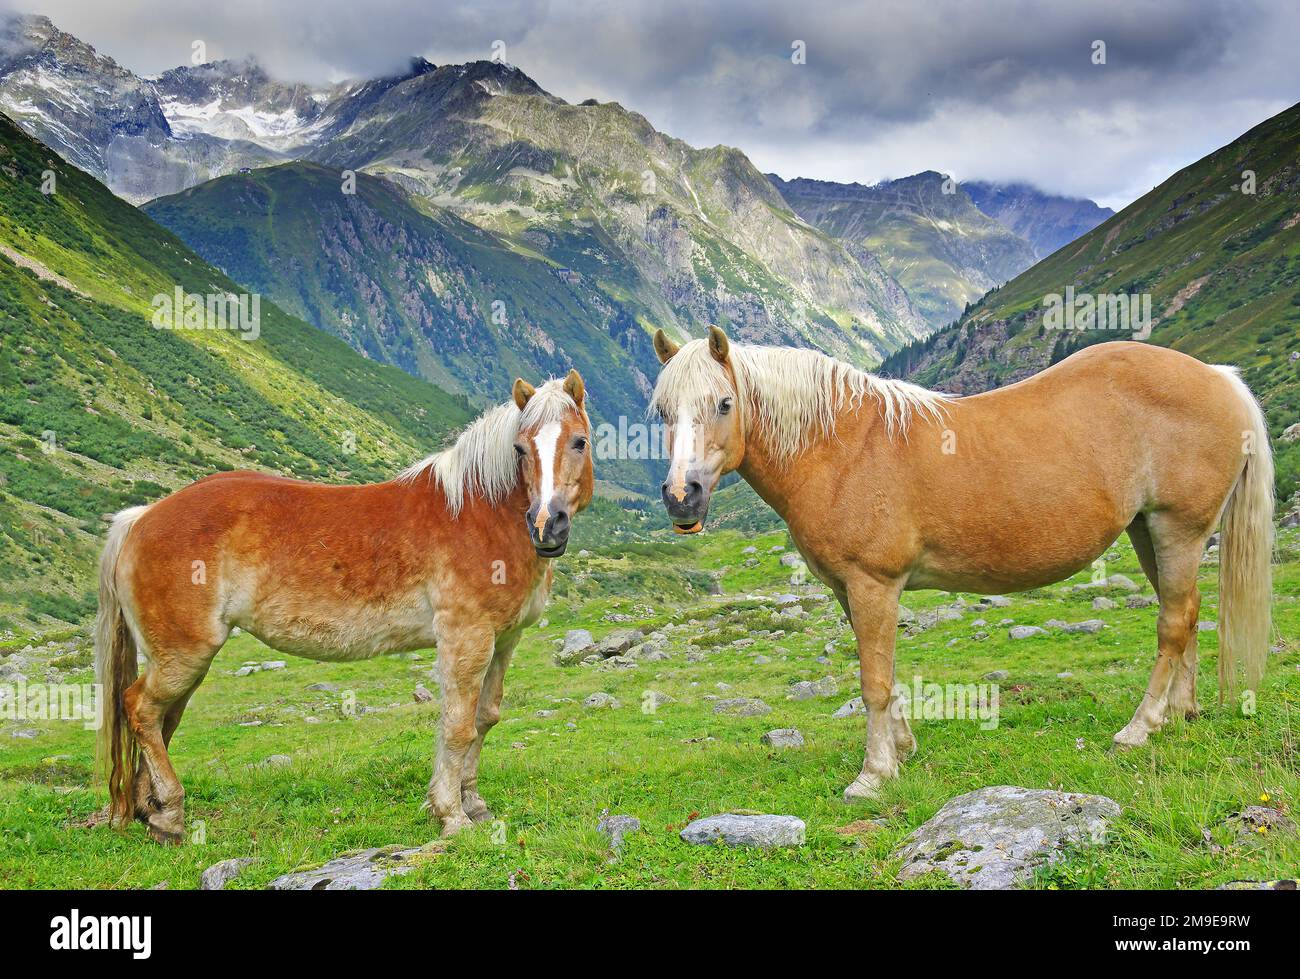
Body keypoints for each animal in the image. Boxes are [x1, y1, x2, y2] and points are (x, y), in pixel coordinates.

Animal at [96, 369, 595, 842]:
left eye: (579, 441)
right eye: (519, 449)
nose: (547, 526)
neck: (479, 513)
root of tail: (140, 518)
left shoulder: (505, 639)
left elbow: (485, 717)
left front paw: (472, 802)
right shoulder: (465, 637)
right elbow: (457, 726)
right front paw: (451, 816)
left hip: (181, 660)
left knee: (163, 718)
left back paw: (152, 812)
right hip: (185, 654)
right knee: (141, 709)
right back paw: (172, 814)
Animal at [650, 328, 1268, 800]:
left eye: (724, 403)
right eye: (662, 411)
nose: (683, 498)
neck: (842, 448)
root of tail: (1219, 377)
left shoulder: (873, 584)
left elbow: (874, 681)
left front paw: (874, 775)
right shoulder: (851, 591)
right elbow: (886, 673)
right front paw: (901, 748)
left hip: (1177, 529)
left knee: (1174, 623)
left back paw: (1139, 729)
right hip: (1147, 532)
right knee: (1184, 615)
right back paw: (1180, 714)